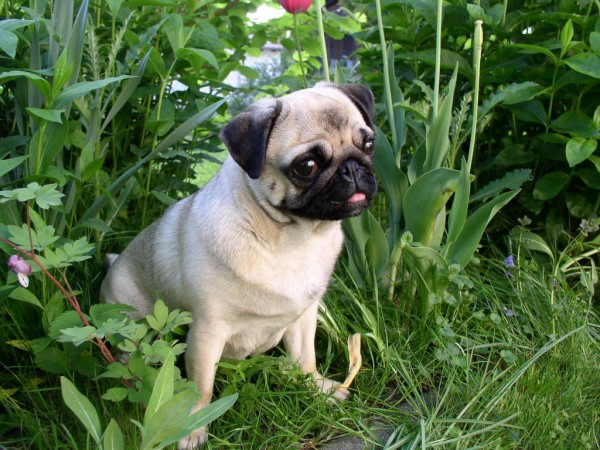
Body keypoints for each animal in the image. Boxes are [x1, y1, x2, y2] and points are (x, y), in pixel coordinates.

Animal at [101, 81, 378, 446]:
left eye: (369, 144)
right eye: (306, 166)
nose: (353, 167)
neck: (294, 239)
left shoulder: (305, 316)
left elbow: (305, 358)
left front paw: (318, 389)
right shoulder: (208, 330)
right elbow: (201, 386)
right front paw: (193, 427)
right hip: (133, 321)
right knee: (130, 354)